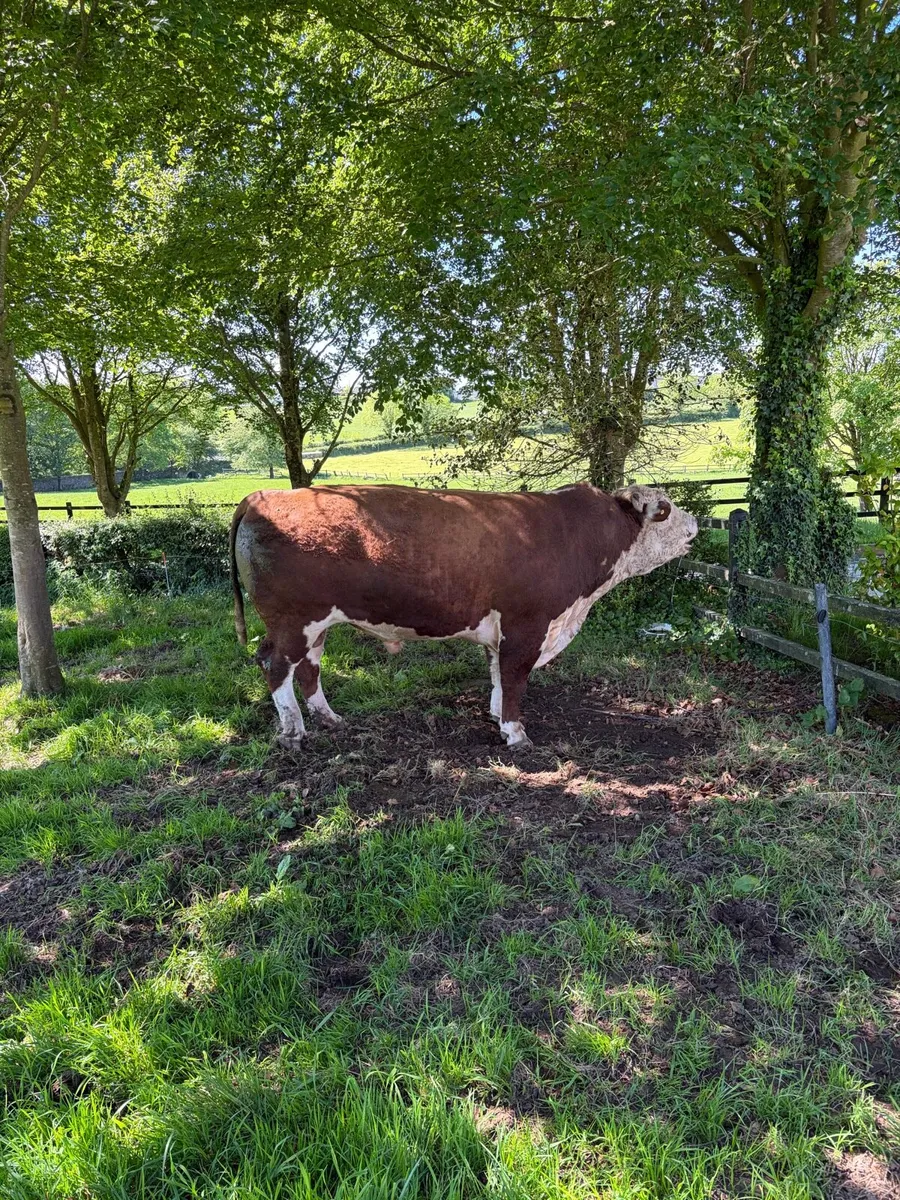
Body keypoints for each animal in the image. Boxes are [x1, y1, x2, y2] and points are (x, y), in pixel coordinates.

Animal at [229, 482, 697, 749]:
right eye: (664, 509)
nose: (696, 526)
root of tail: (264, 496)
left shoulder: (502, 630)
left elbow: (496, 674)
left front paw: (495, 715)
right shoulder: (527, 625)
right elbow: (513, 677)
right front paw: (515, 733)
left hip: (317, 625)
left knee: (310, 667)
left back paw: (328, 718)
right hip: (292, 621)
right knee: (274, 664)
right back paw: (292, 732)